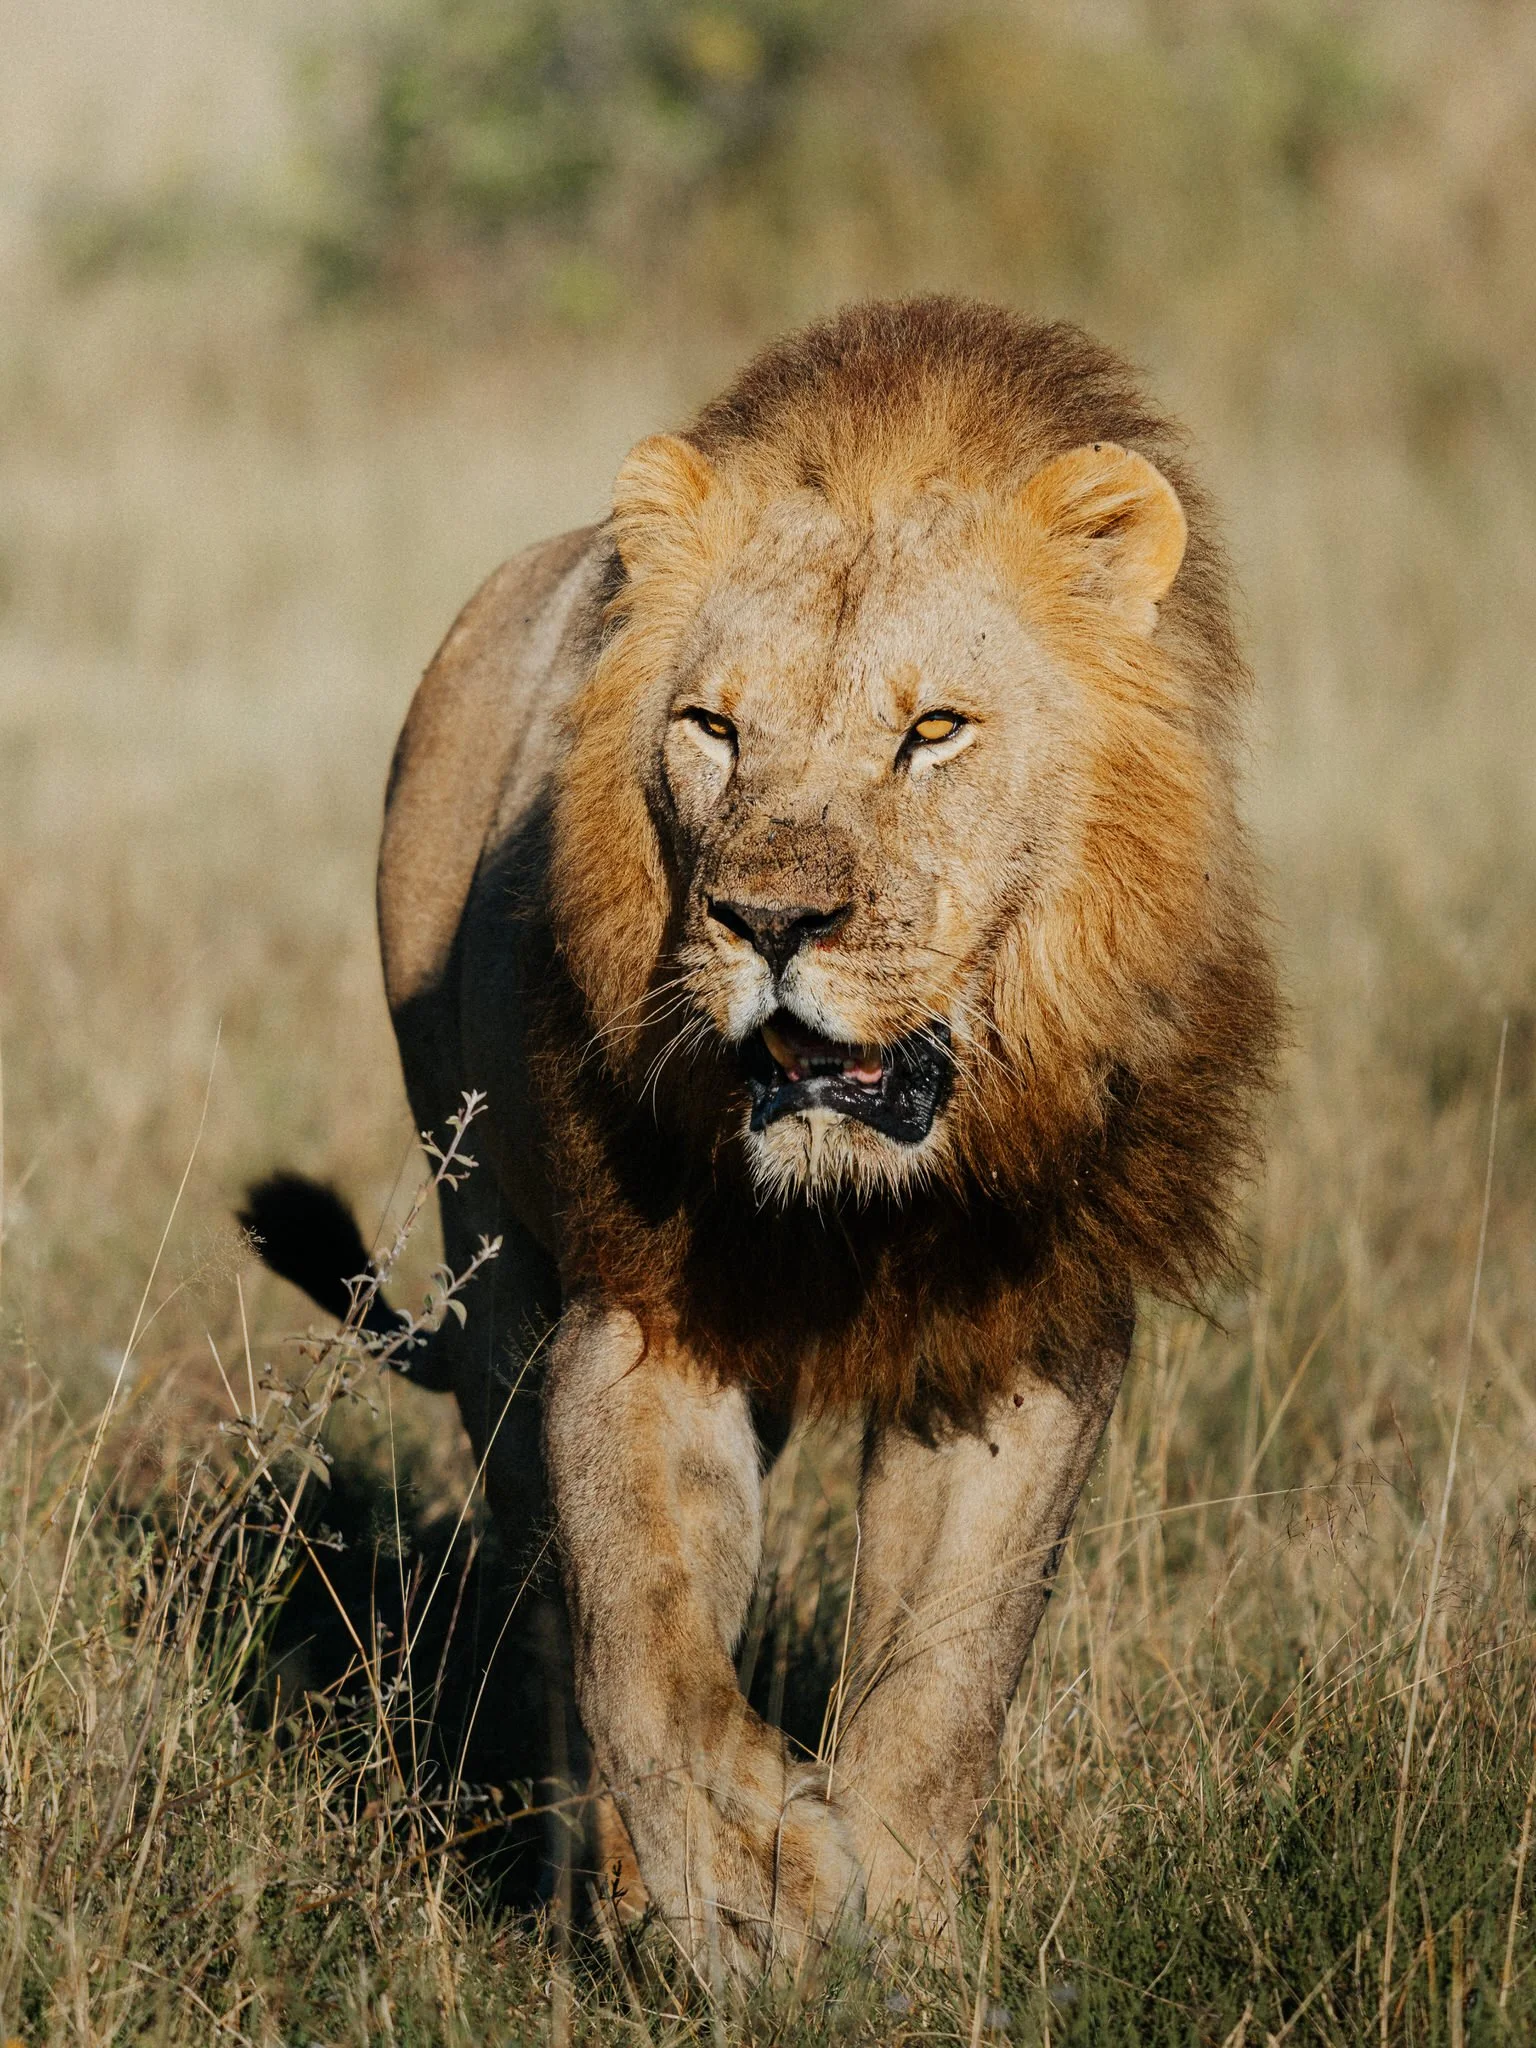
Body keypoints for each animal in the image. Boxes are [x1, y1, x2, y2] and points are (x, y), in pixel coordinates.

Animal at [246, 296, 1278, 1975]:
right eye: (714, 728)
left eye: (935, 731)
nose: (770, 921)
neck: (856, 1205)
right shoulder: (635, 1309)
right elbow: (648, 1628)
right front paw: (742, 1878)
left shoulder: (1023, 1330)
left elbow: (947, 1663)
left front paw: (898, 1921)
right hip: (493, 1265)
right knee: (555, 1600)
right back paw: (596, 1883)